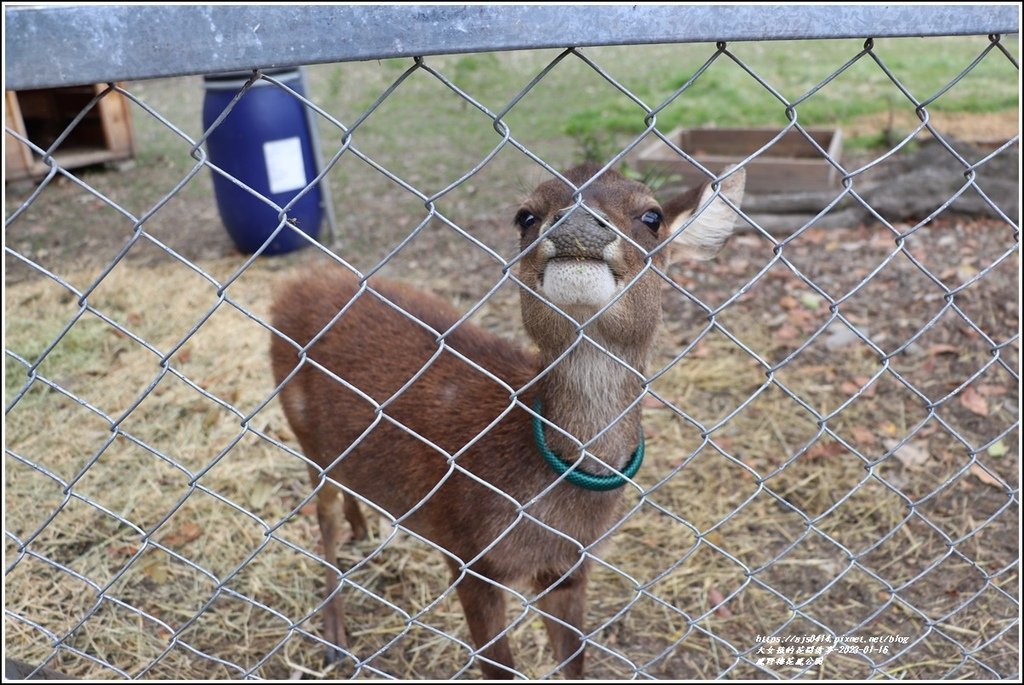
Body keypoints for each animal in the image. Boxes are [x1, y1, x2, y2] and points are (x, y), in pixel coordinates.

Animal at [266, 161, 745, 679]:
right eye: (526, 215)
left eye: (652, 216)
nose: (577, 217)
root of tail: (290, 289)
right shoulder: (468, 553)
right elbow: (501, 668)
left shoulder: (570, 568)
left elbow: (575, 660)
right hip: (302, 430)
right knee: (323, 519)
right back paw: (333, 636)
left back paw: (364, 531)